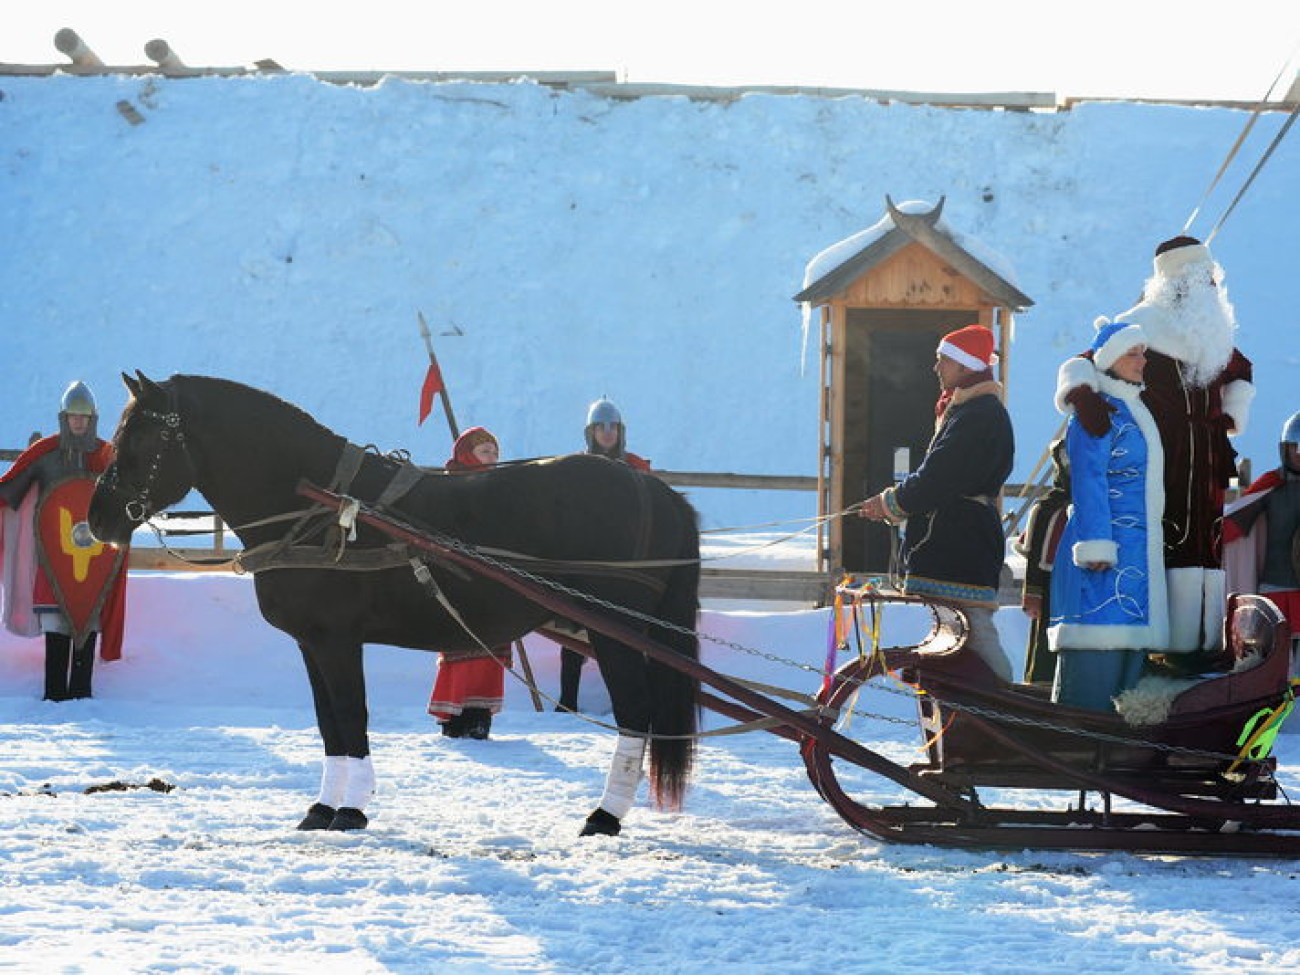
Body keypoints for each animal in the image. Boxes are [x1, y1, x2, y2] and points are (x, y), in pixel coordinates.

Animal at [89, 374, 702, 842]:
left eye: (140, 440)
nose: (98, 519)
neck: (318, 506)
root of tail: (652, 488)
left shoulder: (337, 640)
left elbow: (351, 716)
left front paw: (351, 808)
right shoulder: (312, 643)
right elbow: (329, 724)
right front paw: (322, 807)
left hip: (616, 630)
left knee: (635, 714)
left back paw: (605, 815)